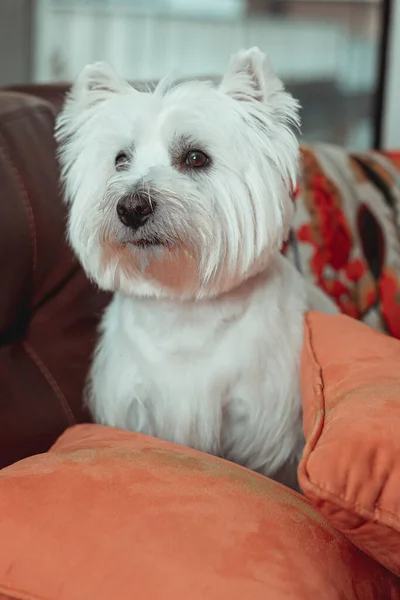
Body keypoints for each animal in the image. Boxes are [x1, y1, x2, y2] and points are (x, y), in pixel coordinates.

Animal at [56, 47, 336, 488]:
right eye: (120, 160)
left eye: (195, 157)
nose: (131, 207)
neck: (184, 308)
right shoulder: (136, 405)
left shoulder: (257, 425)